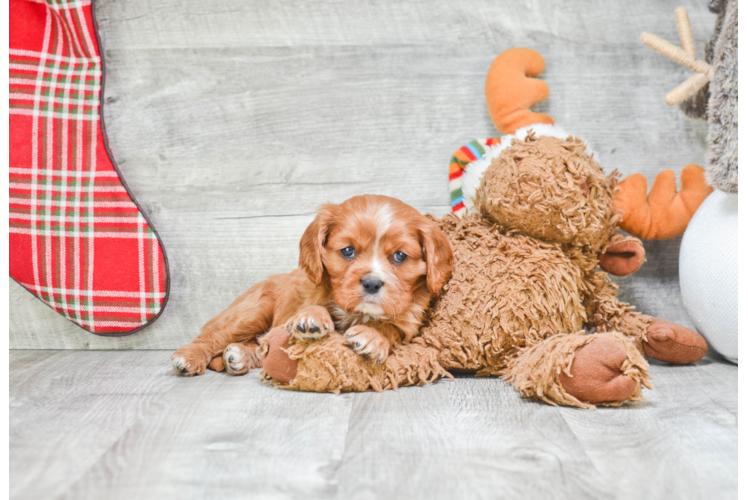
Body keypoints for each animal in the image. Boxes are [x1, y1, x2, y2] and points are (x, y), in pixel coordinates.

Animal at [172, 193, 452, 376]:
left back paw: (238, 356)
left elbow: (391, 328)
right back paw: (190, 357)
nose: (372, 283)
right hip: (252, 311)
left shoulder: (409, 323)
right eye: (348, 251)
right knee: (215, 335)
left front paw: (373, 335)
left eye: (400, 256)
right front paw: (311, 319)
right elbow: (314, 307)